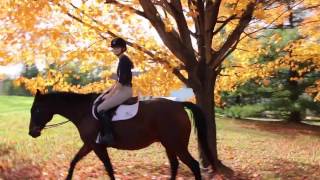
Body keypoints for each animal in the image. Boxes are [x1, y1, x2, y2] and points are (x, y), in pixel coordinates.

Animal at [28, 90, 215, 179]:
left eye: (36, 109)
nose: (31, 132)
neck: (84, 112)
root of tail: (179, 105)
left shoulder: (96, 146)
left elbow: (109, 168)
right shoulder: (89, 145)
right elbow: (74, 161)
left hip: (177, 144)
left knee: (193, 165)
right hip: (169, 144)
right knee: (175, 165)